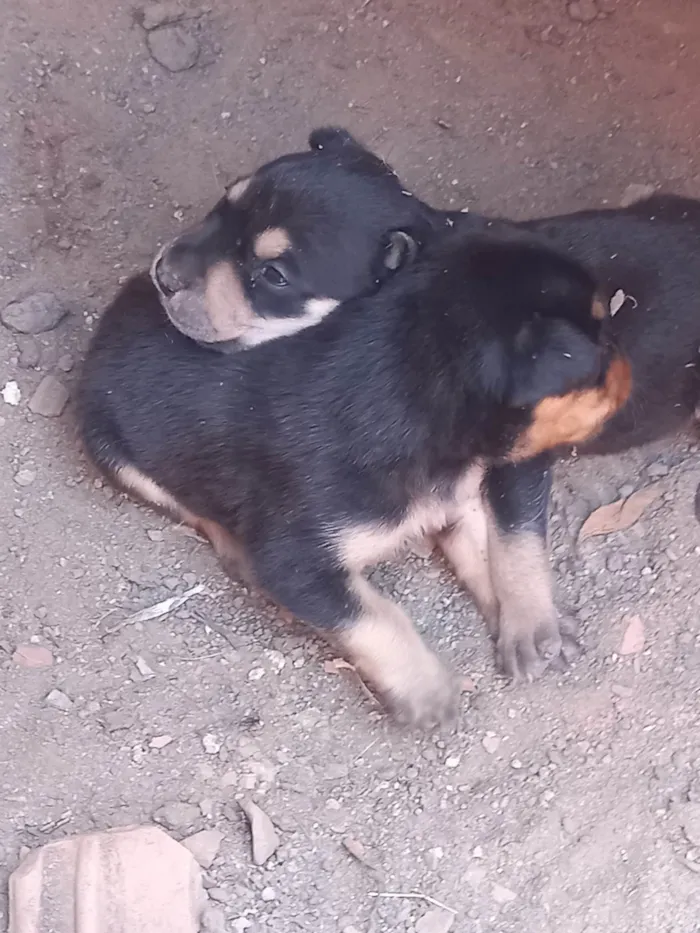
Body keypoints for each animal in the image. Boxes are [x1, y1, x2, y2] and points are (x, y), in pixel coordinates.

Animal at [76, 133, 628, 728]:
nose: (163, 274)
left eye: (274, 275)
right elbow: (374, 615)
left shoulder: (486, 480)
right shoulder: (298, 563)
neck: (412, 381)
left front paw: (528, 625)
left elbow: (503, 541)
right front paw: (428, 692)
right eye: (221, 204)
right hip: (116, 452)